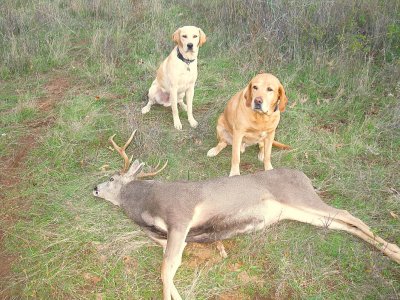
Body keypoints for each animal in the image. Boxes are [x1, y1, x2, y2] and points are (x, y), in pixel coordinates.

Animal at [94, 131, 400, 300]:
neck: (145, 203)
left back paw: (394, 251)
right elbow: (169, 271)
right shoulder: (166, 237)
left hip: (300, 196)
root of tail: (303, 175)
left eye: (111, 177)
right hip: (299, 212)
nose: (94, 188)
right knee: (340, 224)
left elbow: (165, 270)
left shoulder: (180, 218)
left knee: (347, 213)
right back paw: (390, 252)